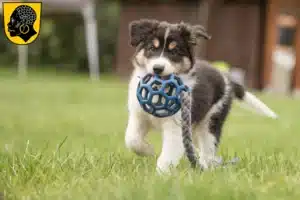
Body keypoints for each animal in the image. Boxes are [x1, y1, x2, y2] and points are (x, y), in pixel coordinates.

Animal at [124, 19, 276, 175]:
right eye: (151, 48)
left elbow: (168, 155)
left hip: (211, 121)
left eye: (174, 51)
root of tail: (226, 78)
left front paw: (161, 175)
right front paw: (147, 150)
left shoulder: (176, 126)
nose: (158, 69)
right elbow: (131, 139)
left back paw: (204, 168)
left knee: (208, 150)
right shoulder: (138, 116)